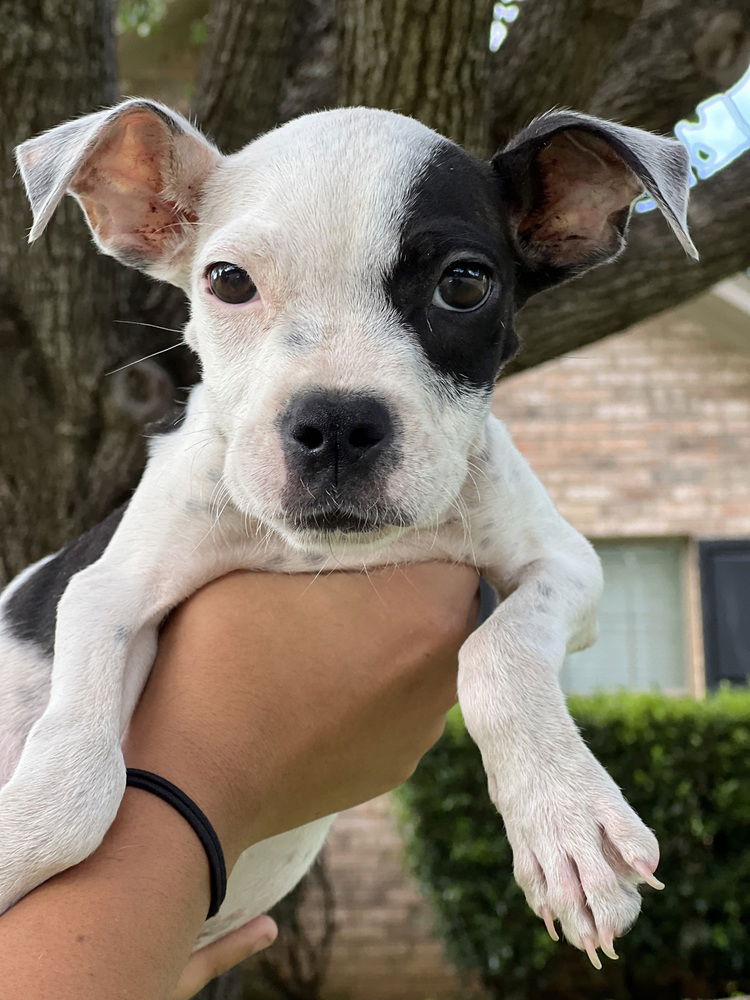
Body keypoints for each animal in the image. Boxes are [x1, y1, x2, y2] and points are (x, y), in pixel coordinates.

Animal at [0, 99, 700, 960]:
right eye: (228, 281)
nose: (335, 423)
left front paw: (565, 820)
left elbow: (497, 652)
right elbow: (76, 783)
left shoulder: (566, 565)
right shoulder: (108, 592)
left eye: (464, 283)